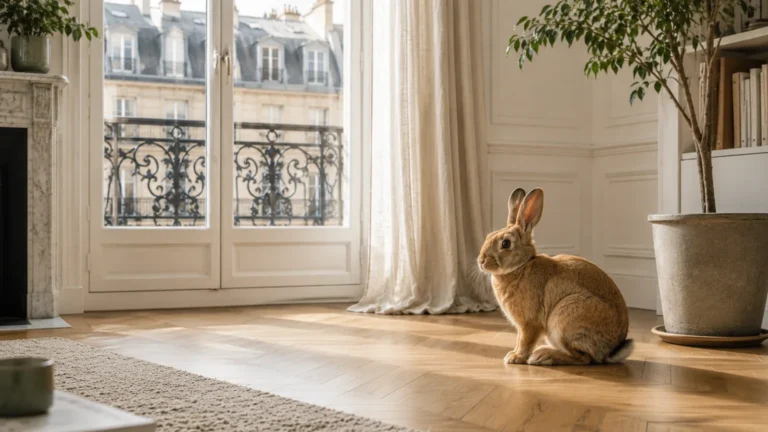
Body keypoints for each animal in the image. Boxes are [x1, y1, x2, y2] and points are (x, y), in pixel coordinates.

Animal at [477, 187, 633, 366]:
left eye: (506, 244)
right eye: (489, 236)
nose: (480, 261)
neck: (522, 266)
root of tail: (612, 350)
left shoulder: (529, 323)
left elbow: (525, 340)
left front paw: (515, 358)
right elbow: (518, 340)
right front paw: (513, 354)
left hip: (565, 318)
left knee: (584, 358)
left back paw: (543, 356)